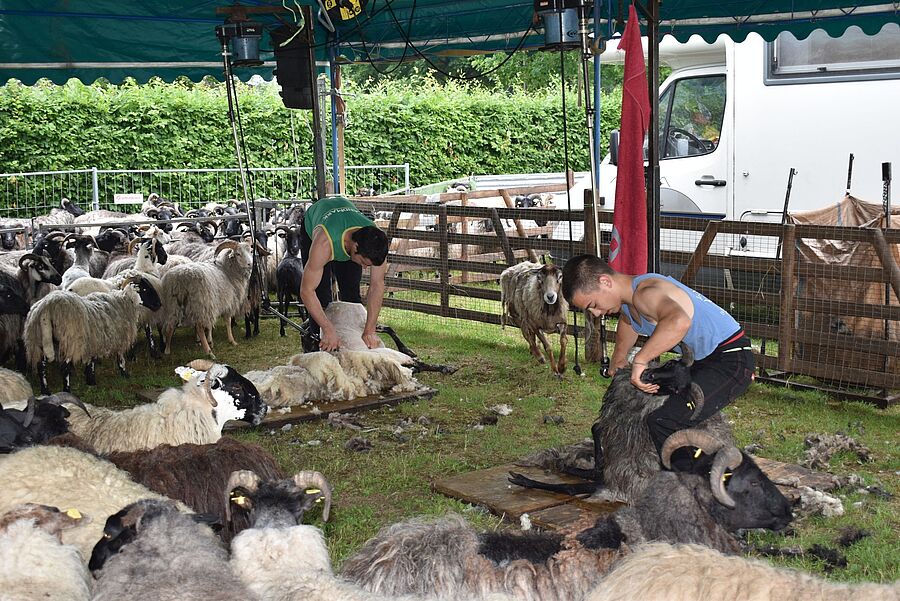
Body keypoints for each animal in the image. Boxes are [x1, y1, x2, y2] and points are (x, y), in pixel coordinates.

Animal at [23, 274, 163, 394]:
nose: (159, 304)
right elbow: (120, 357)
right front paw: (124, 373)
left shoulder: (93, 339)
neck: (124, 301)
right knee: (64, 368)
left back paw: (45, 390)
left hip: (40, 340)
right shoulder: (119, 335)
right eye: (144, 289)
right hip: (70, 341)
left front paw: (91, 380)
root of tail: (47, 309)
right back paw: (67, 390)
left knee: (41, 366)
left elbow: (91, 360)